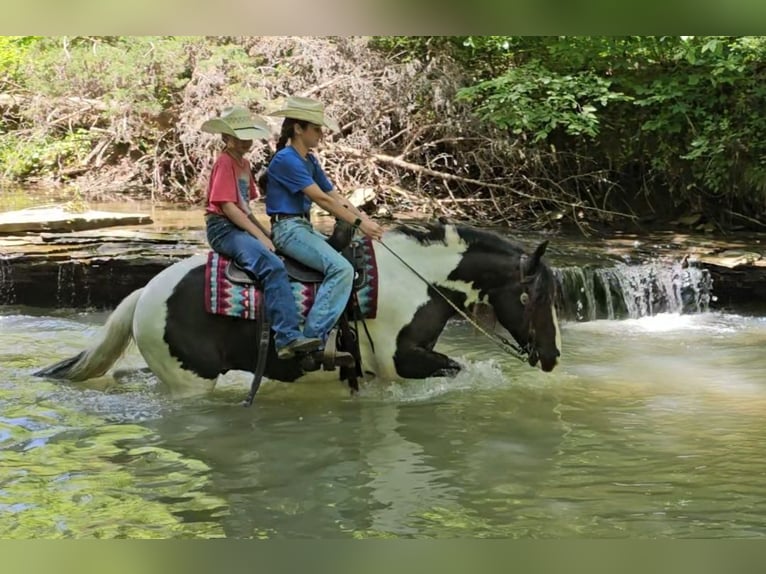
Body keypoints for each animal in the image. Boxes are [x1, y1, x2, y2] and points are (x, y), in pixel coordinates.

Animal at [36, 223, 560, 398]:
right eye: (536, 298)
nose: (553, 357)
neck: (416, 278)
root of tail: (145, 292)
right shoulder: (402, 361)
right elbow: (458, 368)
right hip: (190, 382)